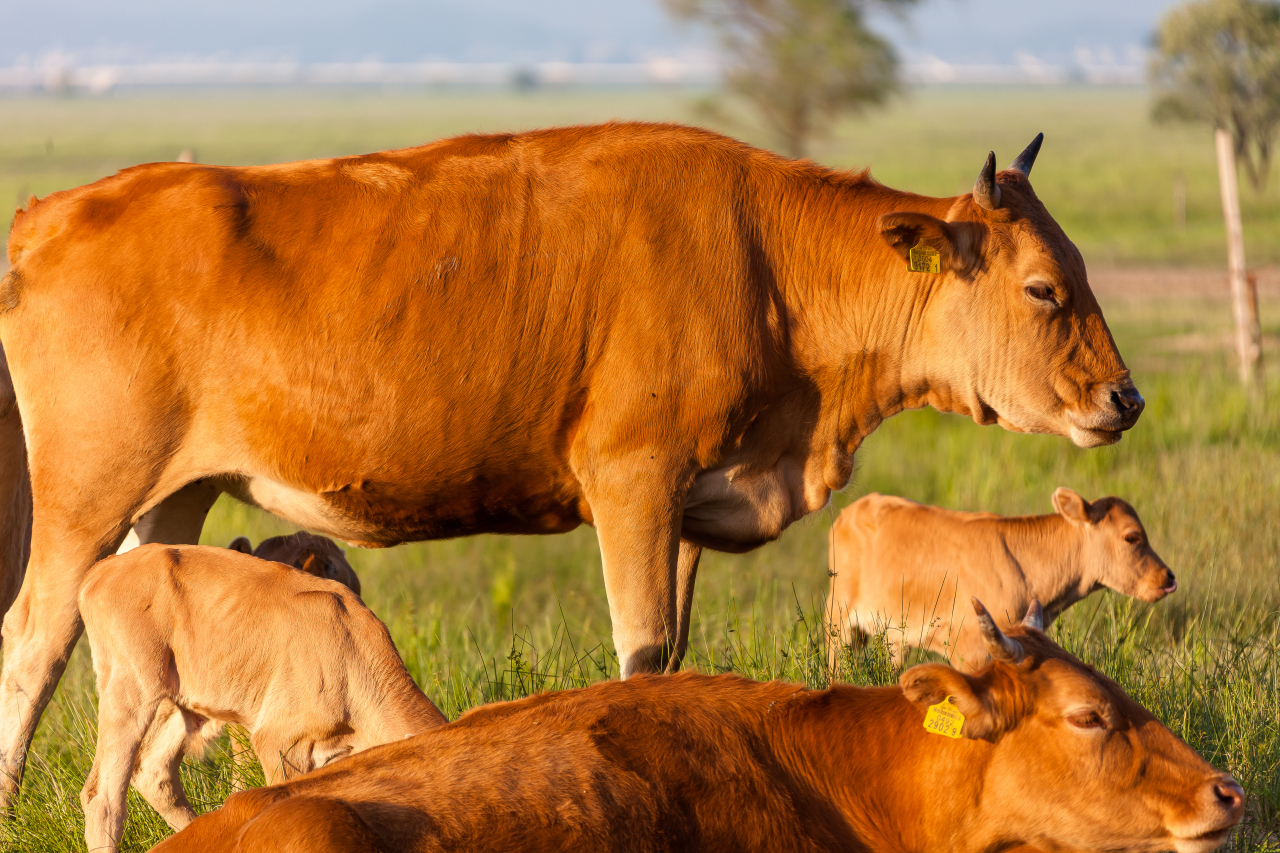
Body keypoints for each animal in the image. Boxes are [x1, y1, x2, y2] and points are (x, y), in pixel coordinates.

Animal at [80, 537, 448, 850]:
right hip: (130, 689)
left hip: (181, 702)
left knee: (154, 772)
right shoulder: (278, 743)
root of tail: (102, 569)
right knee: (102, 797)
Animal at [824, 481, 1172, 666]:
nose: (1168, 577)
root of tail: (852, 509)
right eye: (1132, 537)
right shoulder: (969, 650)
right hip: (838, 623)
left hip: (894, 635)